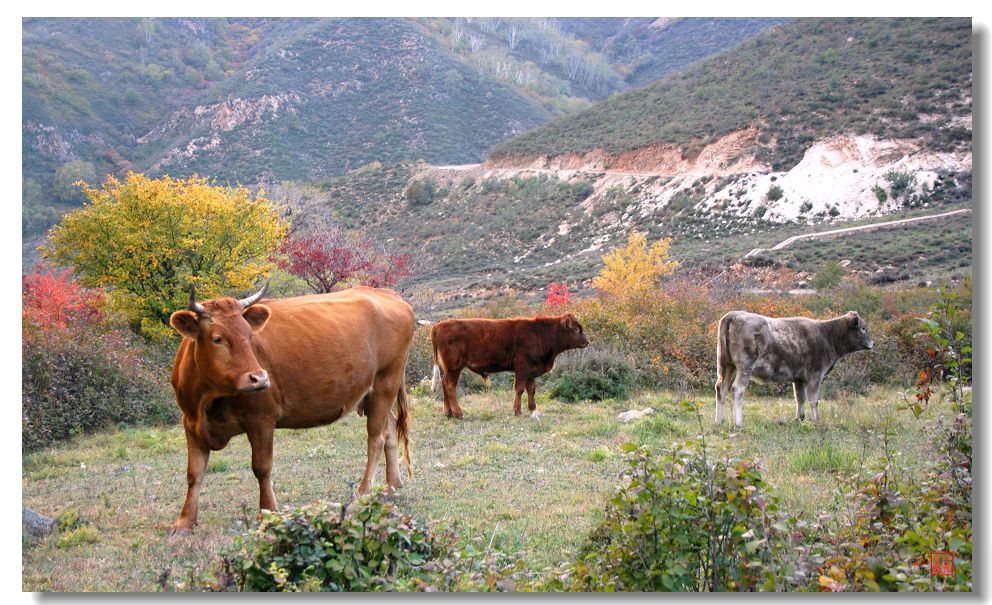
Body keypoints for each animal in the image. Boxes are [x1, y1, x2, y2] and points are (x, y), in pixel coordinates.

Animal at [169, 280, 412, 532]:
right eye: (217, 338)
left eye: (249, 335)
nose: (259, 378)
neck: (209, 399)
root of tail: (386, 293)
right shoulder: (190, 422)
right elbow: (194, 473)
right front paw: (185, 521)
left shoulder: (261, 419)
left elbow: (261, 468)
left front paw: (267, 513)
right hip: (376, 393)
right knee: (390, 430)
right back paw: (391, 486)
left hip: (386, 381)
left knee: (376, 438)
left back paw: (363, 492)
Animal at [428, 314, 584, 418]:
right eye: (576, 329)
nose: (587, 341)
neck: (539, 333)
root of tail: (439, 325)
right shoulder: (522, 368)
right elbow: (519, 389)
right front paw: (517, 410)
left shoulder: (531, 371)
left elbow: (531, 389)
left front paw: (532, 408)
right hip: (454, 368)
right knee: (450, 386)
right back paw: (458, 413)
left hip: (448, 369)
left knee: (444, 384)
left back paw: (448, 413)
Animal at [716, 310, 872, 428]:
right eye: (863, 328)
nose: (872, 343)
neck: (826, 336)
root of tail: (734, 315)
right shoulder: (815, 376)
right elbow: (813, 400)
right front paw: (815, 420)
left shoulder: (799, 378)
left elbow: (800, 398)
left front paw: (800, 418)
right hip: (745, 367)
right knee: (737, 389)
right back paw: (738, 423)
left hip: (726, 365)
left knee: (721, 389)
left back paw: (719, 421)